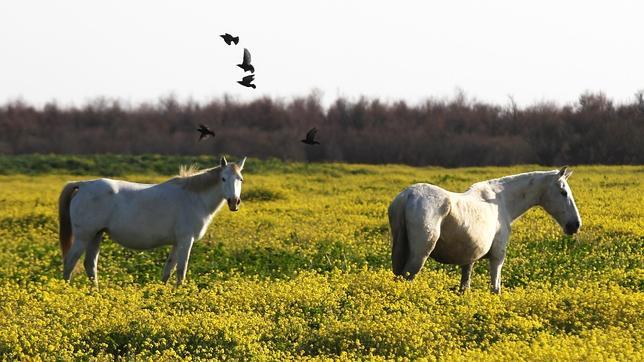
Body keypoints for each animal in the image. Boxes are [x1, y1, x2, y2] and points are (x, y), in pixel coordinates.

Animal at [57, 157, 247, 288]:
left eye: (241, 179)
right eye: (223, 178)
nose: (234, 202)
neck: (194, 197)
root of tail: (83, 185)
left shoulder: (177, 243)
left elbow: (168, 270)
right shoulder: (187, 240)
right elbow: (181, 270)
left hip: (96, 235)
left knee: (90, 265)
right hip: (83, 237)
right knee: (70, 262)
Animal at [388, 168, 584, 294]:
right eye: (563, 192)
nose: (575, 225)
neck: (500, 201)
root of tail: (407, 196)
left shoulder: (468, 259)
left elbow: (465, 286)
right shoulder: (497, 257)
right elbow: (495, 289)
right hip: (418, 256)